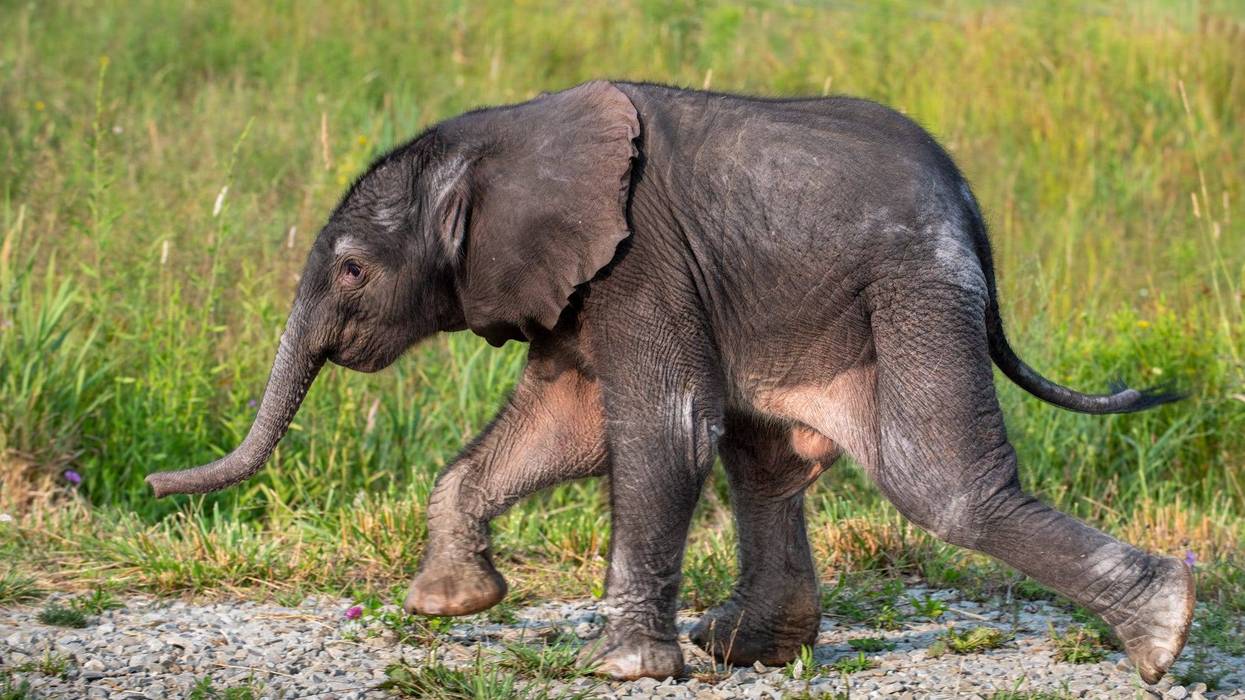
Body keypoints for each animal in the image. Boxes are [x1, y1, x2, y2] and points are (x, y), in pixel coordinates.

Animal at [145, 81, 1193, 683]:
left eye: (355, 271)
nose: (155, 485)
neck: (495, 138)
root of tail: (973, 211)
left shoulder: (640, 257)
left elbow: (662, 427)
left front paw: (620, 672)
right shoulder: (577, 279)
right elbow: (564, 426)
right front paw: (449, 605)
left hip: (912, 286)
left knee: (937, 485)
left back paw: (1165, 634)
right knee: (768, 463)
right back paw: (742, 649)